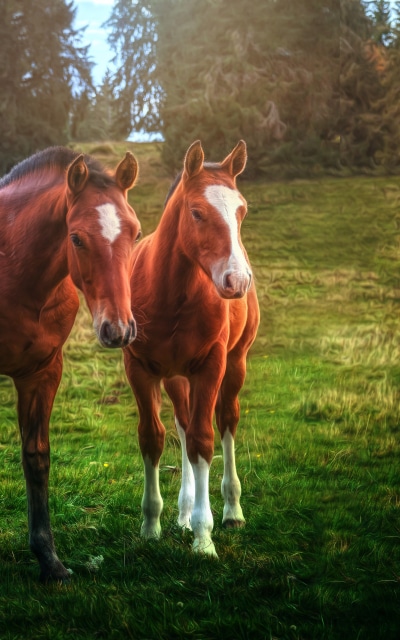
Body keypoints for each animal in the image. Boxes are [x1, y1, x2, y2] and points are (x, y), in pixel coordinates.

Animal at [0, 146, 141, 581]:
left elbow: (37, 457)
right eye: (76, 237)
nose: (118, 329)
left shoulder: (43, 372)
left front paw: (49, 559)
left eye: (136, 233)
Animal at [124, 140, 260, 556]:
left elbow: (204, 439)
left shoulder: (210, 366)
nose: (237, 280)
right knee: (183, 426)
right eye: (197, 212)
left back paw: (231, 511)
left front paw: (204, 538)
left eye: (242, 210)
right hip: (174, 377)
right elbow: (153, 438)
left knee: (225, 421)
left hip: (235, 363)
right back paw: (182, 514)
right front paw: (151, 526)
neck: (170, 293)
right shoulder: (140, 368)